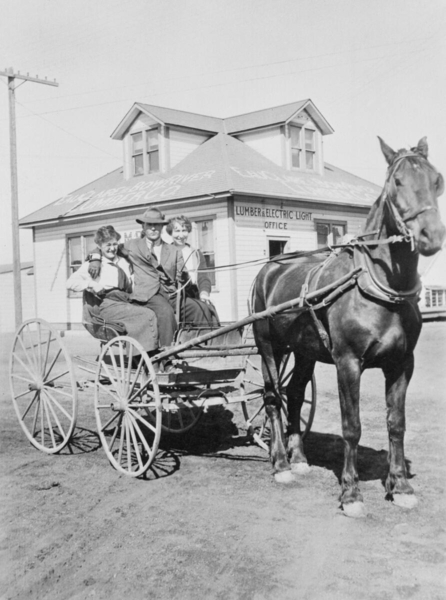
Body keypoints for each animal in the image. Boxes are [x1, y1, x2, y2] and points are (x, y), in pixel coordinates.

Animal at [253, 136, 444, 516]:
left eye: (437, 180)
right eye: (397, 182)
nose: (431, 236)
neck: (378, 289)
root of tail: (269, 268)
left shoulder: (402, 364)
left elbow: (396, 423)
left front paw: (400, 486)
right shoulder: (348, 363)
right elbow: (352, 427)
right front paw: (351, 493)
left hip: (304, 351)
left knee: (294, 393)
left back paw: (299, 458)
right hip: (270, 347)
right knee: (272, 396)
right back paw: (281, 463)